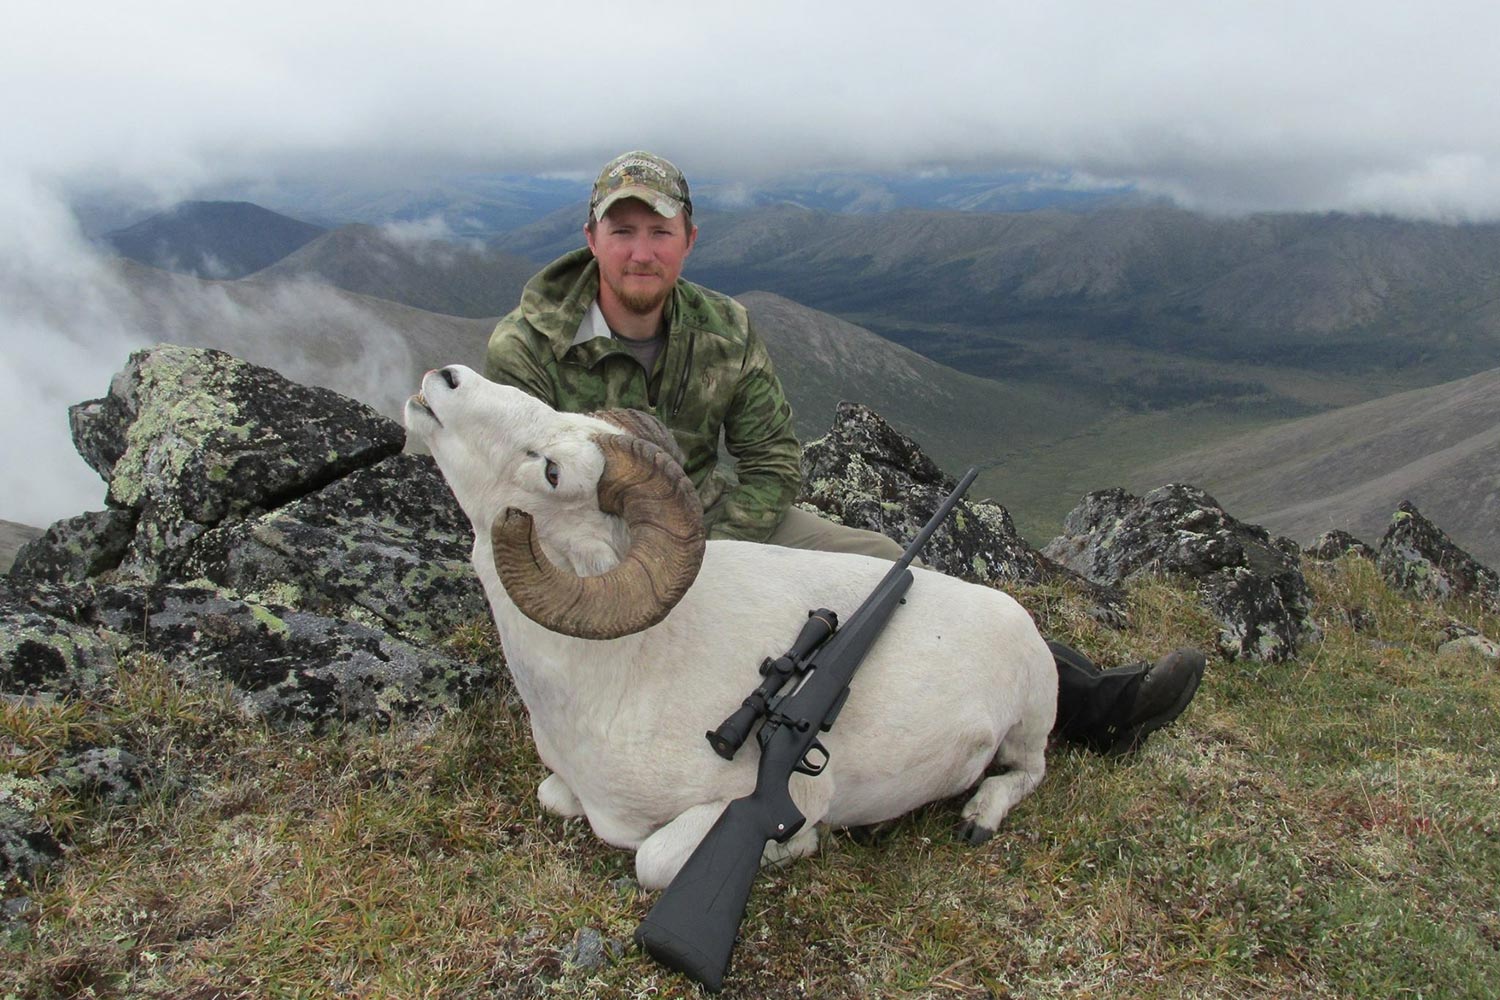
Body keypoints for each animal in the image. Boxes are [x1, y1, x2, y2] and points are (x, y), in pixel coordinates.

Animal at [399, 364, 1056, 887]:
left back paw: (977, 818)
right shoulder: (569, 787)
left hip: (1029, 728)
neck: (617, 677)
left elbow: (653, 860)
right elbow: (553, 797)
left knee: (1030, 772)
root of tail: (1020, 622)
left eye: (554, 473)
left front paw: (799, 844)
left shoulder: (767, 798)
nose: (447, 379)